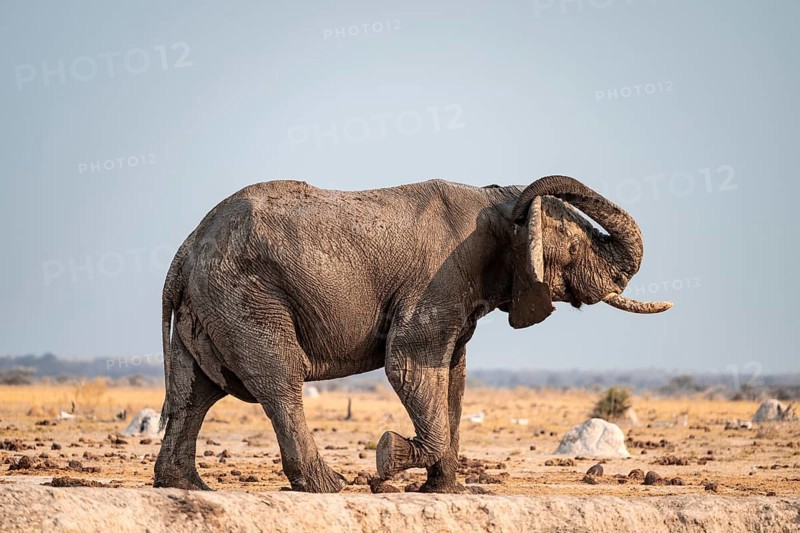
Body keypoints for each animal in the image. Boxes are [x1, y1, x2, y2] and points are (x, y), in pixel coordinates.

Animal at [154, 175, 671, 493]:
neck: (499, 202)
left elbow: (453, 380)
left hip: (208, 306)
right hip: (246, 295)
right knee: (279, 380)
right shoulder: (436, 283)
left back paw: (185, 485)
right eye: (576, 246)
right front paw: (386, 458)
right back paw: (329, 487)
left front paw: (446, 490)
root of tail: (185, 250)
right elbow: (408, 365)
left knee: (195, 392)